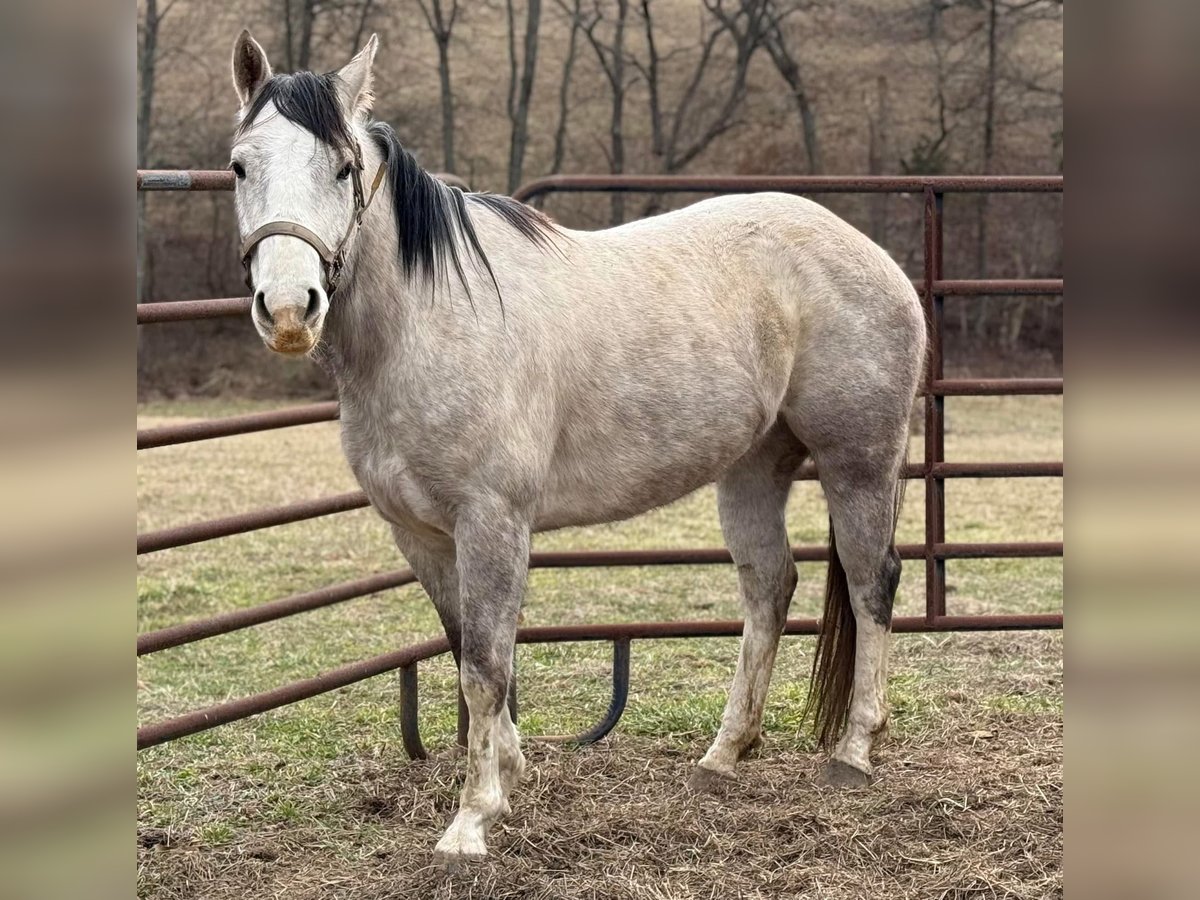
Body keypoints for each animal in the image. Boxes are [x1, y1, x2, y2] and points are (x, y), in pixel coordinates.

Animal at [229, 31, 926, 868]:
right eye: (240, 166)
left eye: (342, 168)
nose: (288, 310)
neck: (428, 322)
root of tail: (872, 255)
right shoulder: (421, 535)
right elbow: (467, 652)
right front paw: (513, 773)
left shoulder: (492, 522)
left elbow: (486, 666)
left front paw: (471, 821)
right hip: (753, 470)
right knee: (769, 590)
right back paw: (723, 755)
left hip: (859, 462)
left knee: (871, 583)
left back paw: (854, 752)